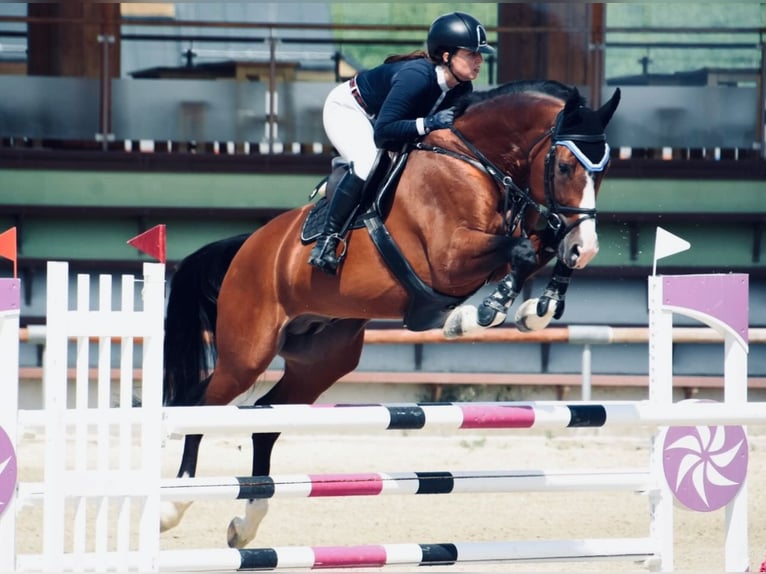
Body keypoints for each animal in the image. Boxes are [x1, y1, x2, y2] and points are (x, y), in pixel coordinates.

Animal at [159, 81, 620, 548]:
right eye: (565, 166)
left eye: (603, 170)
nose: (588, 248)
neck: (478, 160)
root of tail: (247, 245)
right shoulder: (449, 257)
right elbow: (523, 250)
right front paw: (481, 313)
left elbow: (544, 245)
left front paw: (538, 309)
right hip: (247, 352)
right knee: (202, 405)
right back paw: (173, 505)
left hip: (320, 361)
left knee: (268, 419)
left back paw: (245, 522)